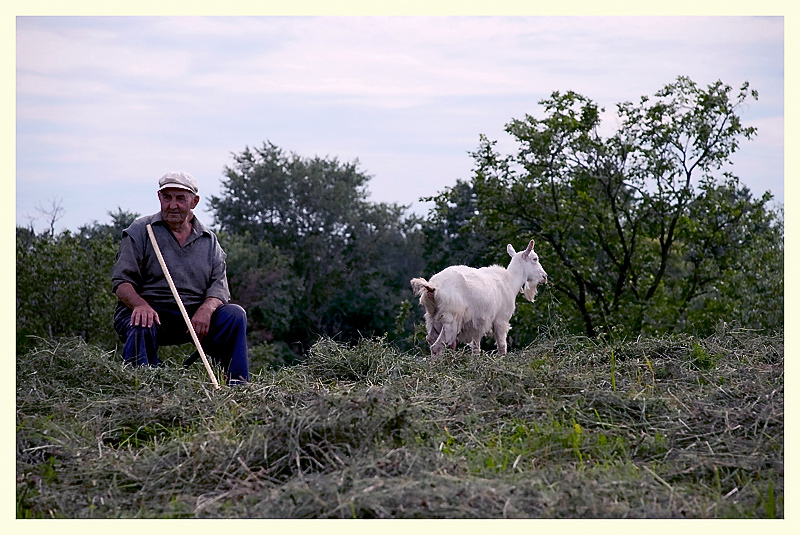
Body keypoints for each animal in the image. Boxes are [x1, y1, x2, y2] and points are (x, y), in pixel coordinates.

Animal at [410, 241, 548, 358]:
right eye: (535, 259)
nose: (544, 276)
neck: (509, 280)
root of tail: (433, 287)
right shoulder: (501, 320)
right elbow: (502, 347)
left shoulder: (476, 326)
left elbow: (476, 348)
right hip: (450, 320)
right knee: (437, 347)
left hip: (433, 320)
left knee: (431, 340)